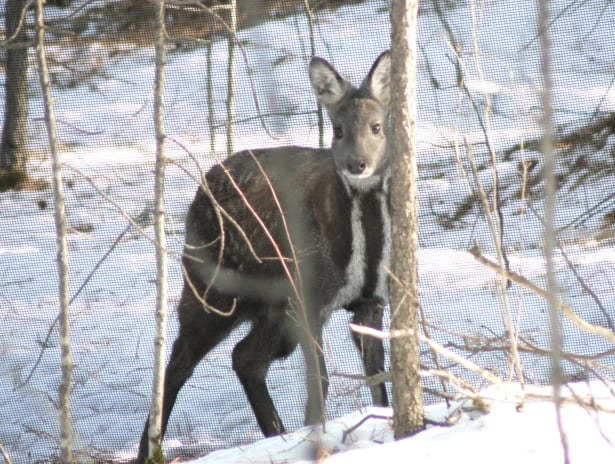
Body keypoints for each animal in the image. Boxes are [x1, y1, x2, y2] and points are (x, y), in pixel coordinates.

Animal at [138, 50, 392, 460]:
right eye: (337, 129)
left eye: (376, 126)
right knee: (178, 363)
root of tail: (201, 188)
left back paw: (276, 434)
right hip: (210, 288)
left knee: (245, 358)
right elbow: (319, 378)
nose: (357, 165)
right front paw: (315, 437)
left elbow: (379, 375)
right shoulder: (308, 298)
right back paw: (149, 451)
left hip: (271, 307)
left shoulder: (372, 301)